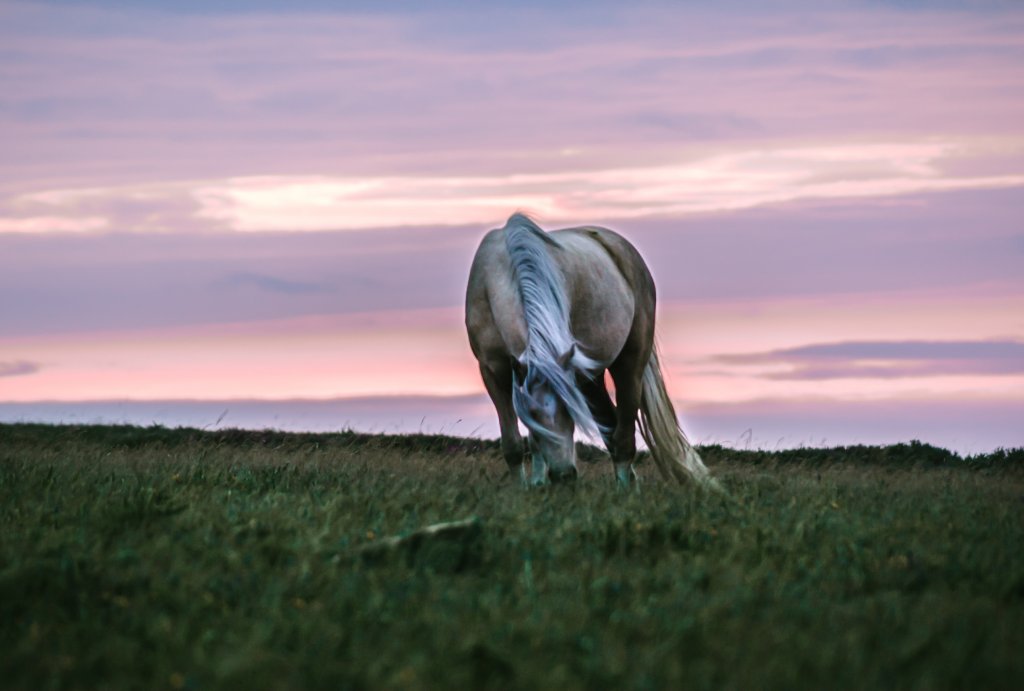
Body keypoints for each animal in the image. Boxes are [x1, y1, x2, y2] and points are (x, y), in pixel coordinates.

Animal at [465, 213, 716, 488]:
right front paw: (530, 486)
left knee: (623, 434)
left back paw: (625, 488)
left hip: (629, 366)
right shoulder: (493, 371)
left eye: (571, 410)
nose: (564, 475)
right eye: (531, 413)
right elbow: (516, 443)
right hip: (590, 380)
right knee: (611, 425)